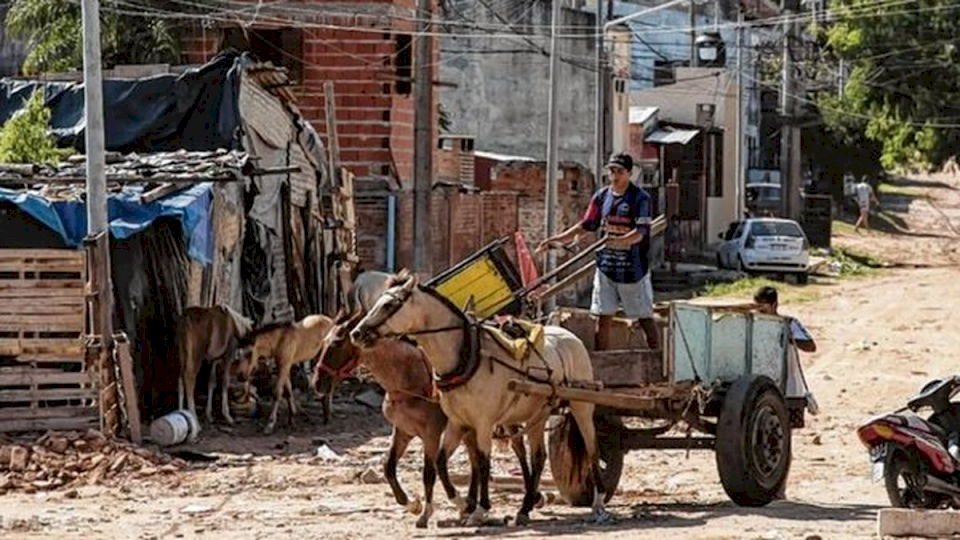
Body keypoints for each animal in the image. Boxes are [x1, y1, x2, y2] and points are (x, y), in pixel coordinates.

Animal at [314, 312, 544, 528]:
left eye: (336, 343)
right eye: (322, 342)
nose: (317, 383)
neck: (409, 380)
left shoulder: (430, 434)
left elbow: (429, 472)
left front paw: (426, 513)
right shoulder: (403, 431)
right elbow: (388, 467)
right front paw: (411, 504)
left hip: (504, 419)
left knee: (519, 450)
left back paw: (529, 499)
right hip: (470, 426)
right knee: (476, 461)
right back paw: (472, 504)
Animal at [352, 272, 608, 524]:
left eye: (389, 304)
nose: (357, 333)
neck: (467, 357)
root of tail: (570, 336)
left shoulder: (482, 423)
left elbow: (483, 462)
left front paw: (480, 508)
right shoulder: (458, 423)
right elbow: (441, 463)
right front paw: (463, 503)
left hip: (581, 405)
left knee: (592, 448)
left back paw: (598, 503)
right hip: (538, 414)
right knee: (538, 457)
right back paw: (524, 509)